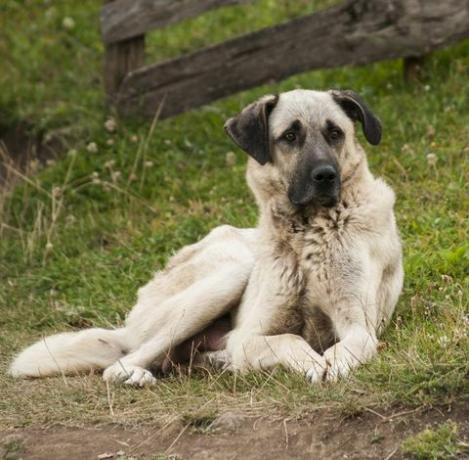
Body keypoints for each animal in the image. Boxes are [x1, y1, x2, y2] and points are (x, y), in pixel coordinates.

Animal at [10, 89, 402, 384]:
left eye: (335, 133)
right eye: (290, 136)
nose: (325, 176)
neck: (306, 233)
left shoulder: (359, 326)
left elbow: (350, 347)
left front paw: (331, 364)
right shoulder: (249, 337)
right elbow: (288, 338)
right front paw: (311, 362)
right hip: (228, 275)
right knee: (121, 362)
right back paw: (137, 374)